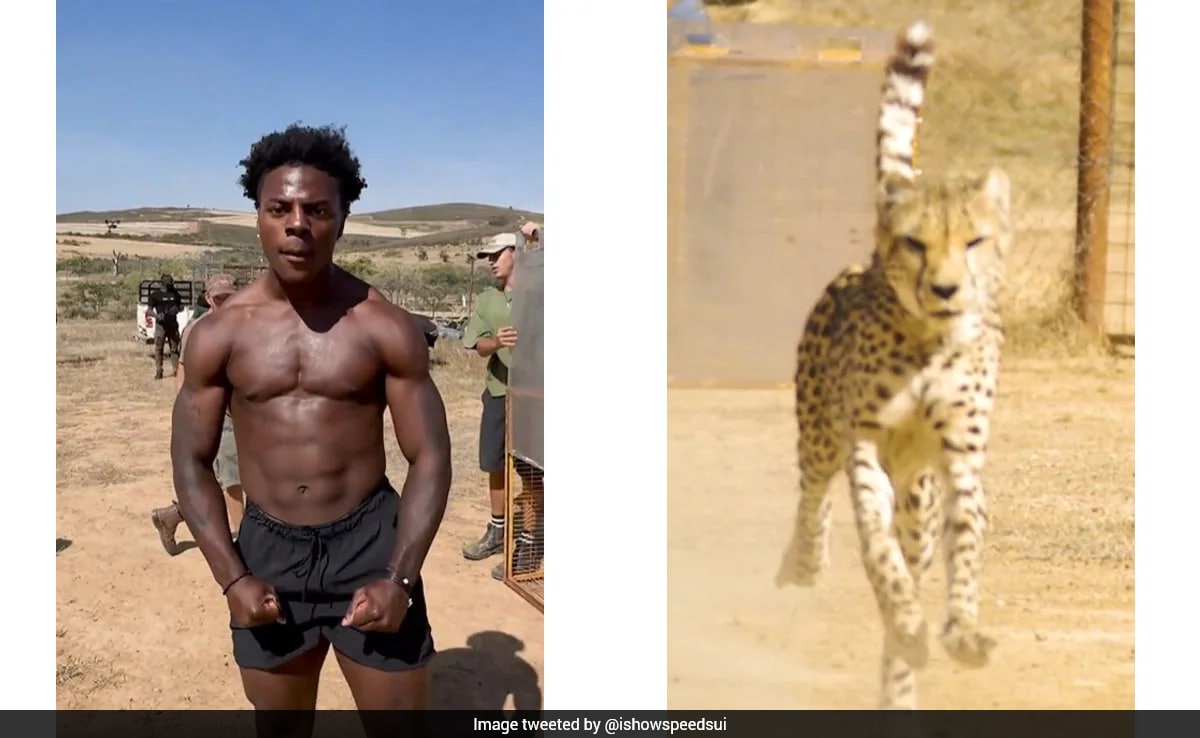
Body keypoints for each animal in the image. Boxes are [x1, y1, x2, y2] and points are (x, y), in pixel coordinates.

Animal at [772, 20, 1012, 710]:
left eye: (974, 240)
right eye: (916, 242)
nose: (945, 289)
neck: (927, 340)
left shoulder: (959, 459)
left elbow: (965, 546)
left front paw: (961, 631)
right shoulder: (864, 448)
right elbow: (878, 555)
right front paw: (907, 615)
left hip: (918, 498)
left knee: (915, 546)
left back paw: (900, 685)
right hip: (822, 431)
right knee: (812, 497)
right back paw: (804, 564)